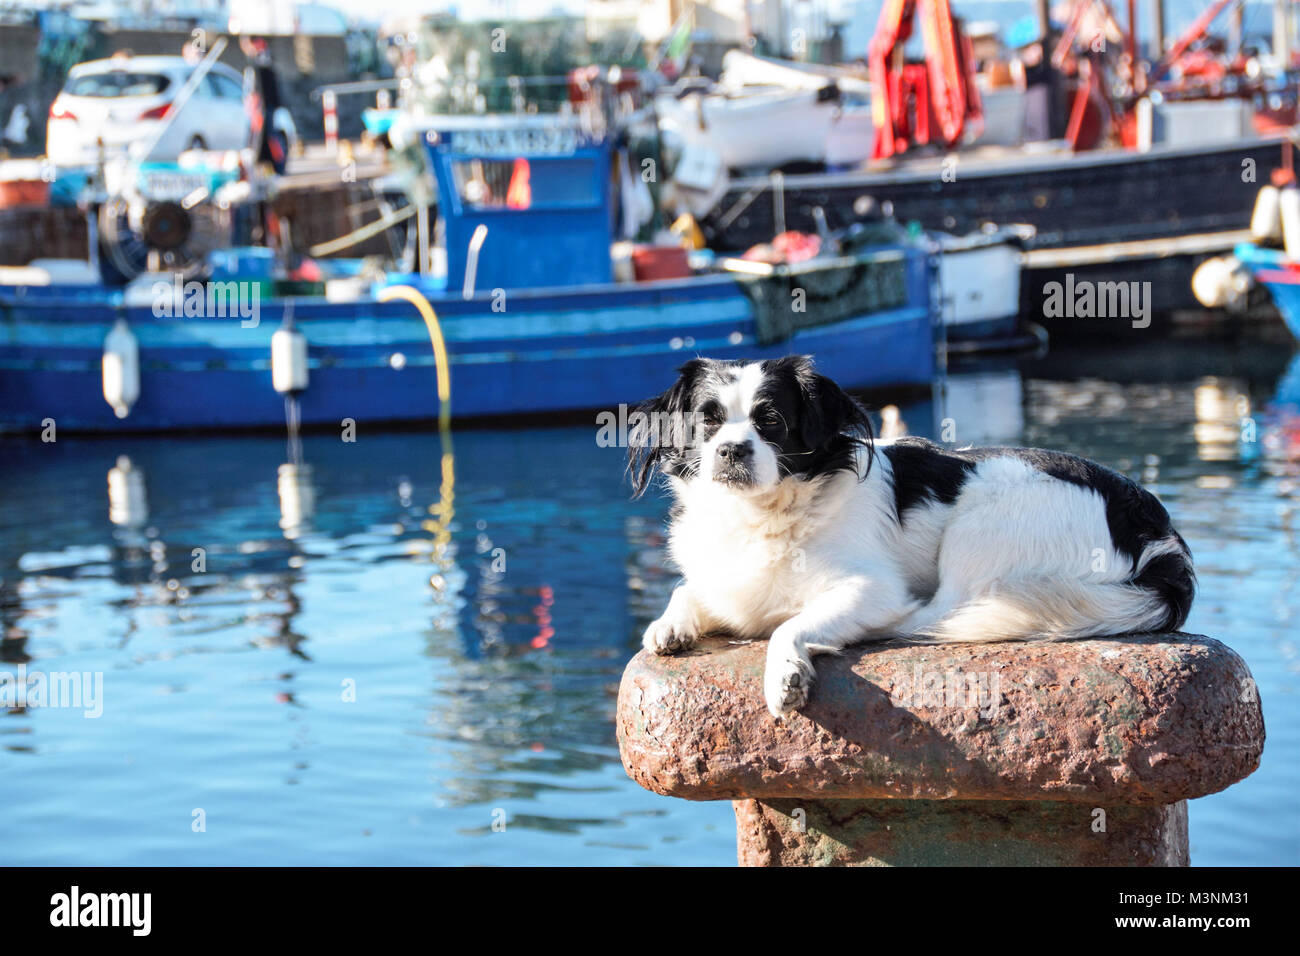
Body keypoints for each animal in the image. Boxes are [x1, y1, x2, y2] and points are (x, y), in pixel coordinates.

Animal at [629, 356, 1196, 717]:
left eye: (772, 422)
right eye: (708, 424)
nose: (731, 450)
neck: (762, 513)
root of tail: (1156, 530)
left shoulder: (873, 589)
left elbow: (786, 626)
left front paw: (785, 672)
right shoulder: (725, 582)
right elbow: (689, 590)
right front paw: (671, 624)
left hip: (980, 519)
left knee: (940, 612)